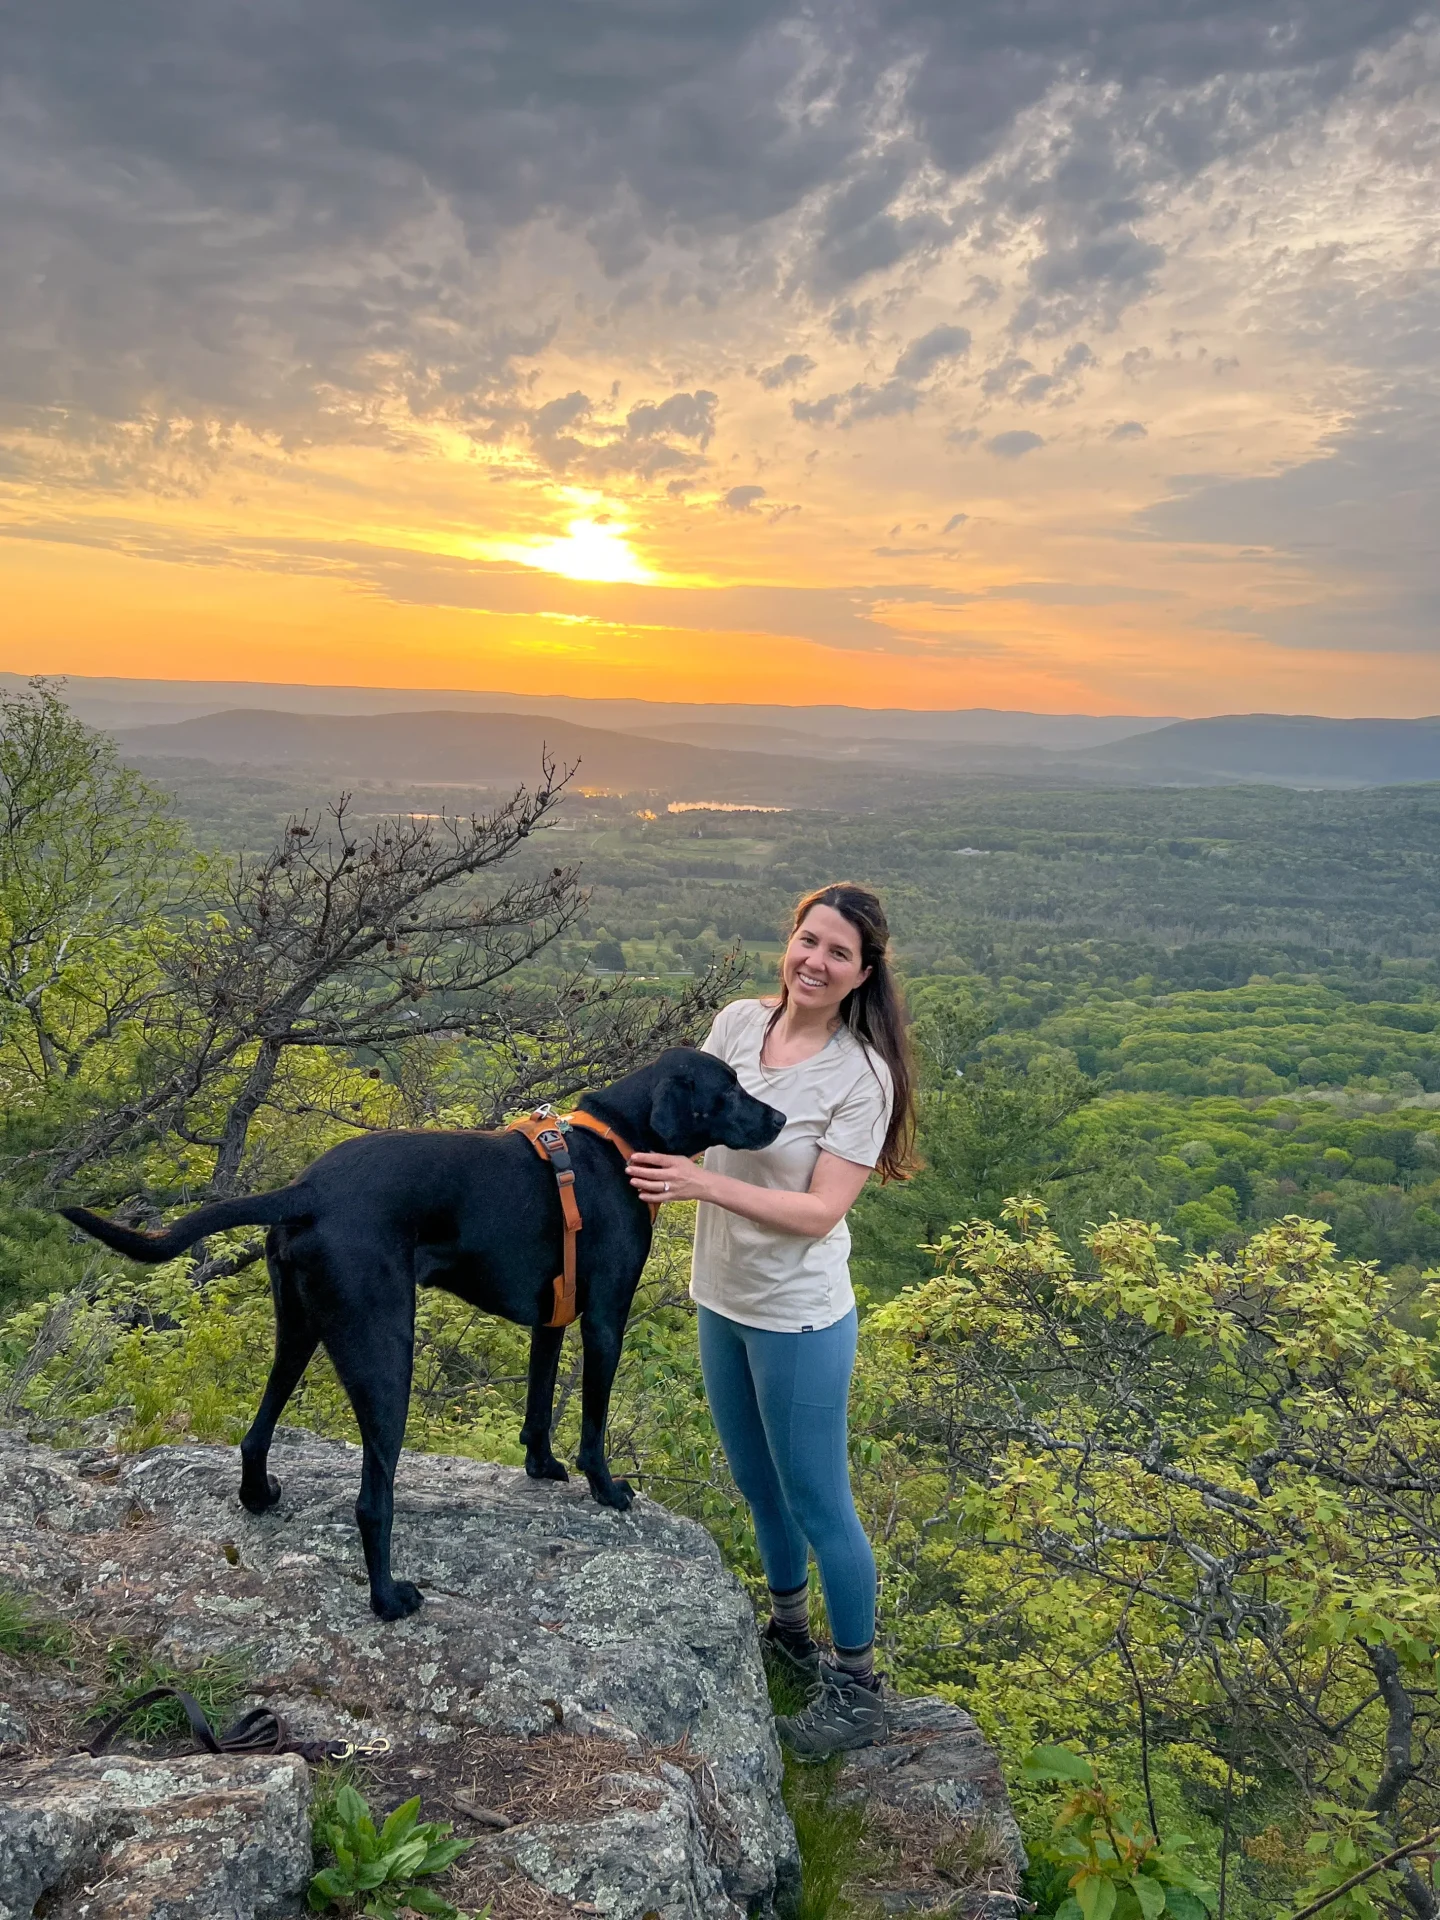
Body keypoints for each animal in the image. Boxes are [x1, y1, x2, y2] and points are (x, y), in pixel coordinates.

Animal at [61, 1059, 783, 1612]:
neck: (615, 1143)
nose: (778, 1119)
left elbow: (539, 1403)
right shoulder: (606, 1317)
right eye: (728, 1087)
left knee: (256, 1433)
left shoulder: (550, 1317)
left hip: (300, 1332)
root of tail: (307, 1188)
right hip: (385, 1353)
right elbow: (593, 1422)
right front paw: (606, 1490)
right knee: (371, 1500)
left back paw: (259, 1497)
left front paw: (541, 1466)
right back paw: (387, 1598)